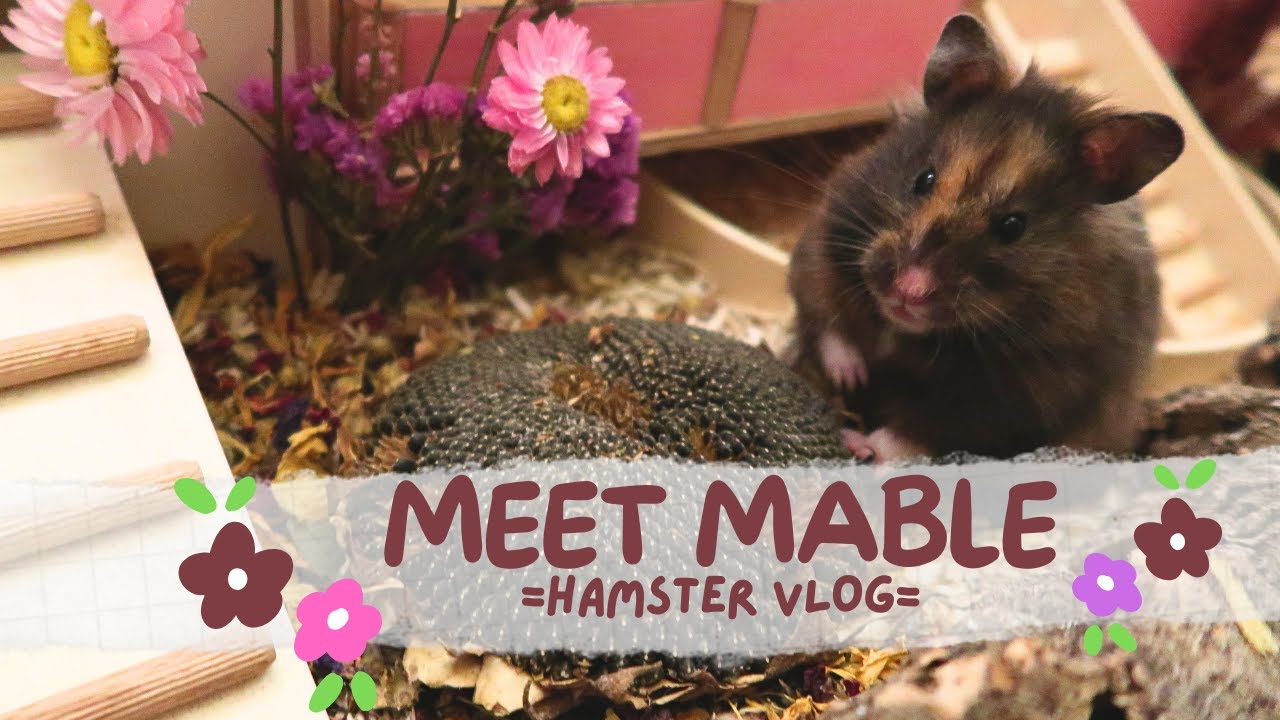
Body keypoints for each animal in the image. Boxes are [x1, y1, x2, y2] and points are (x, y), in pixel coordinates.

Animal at [788, 14, 1184, 462]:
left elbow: (926, 429)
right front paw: (850, 377)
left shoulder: (1016, 399)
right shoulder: (821, 243)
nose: (909, 291)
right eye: (924, 180)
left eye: (1013, 226)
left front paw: (868, 446)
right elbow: (826, 321)